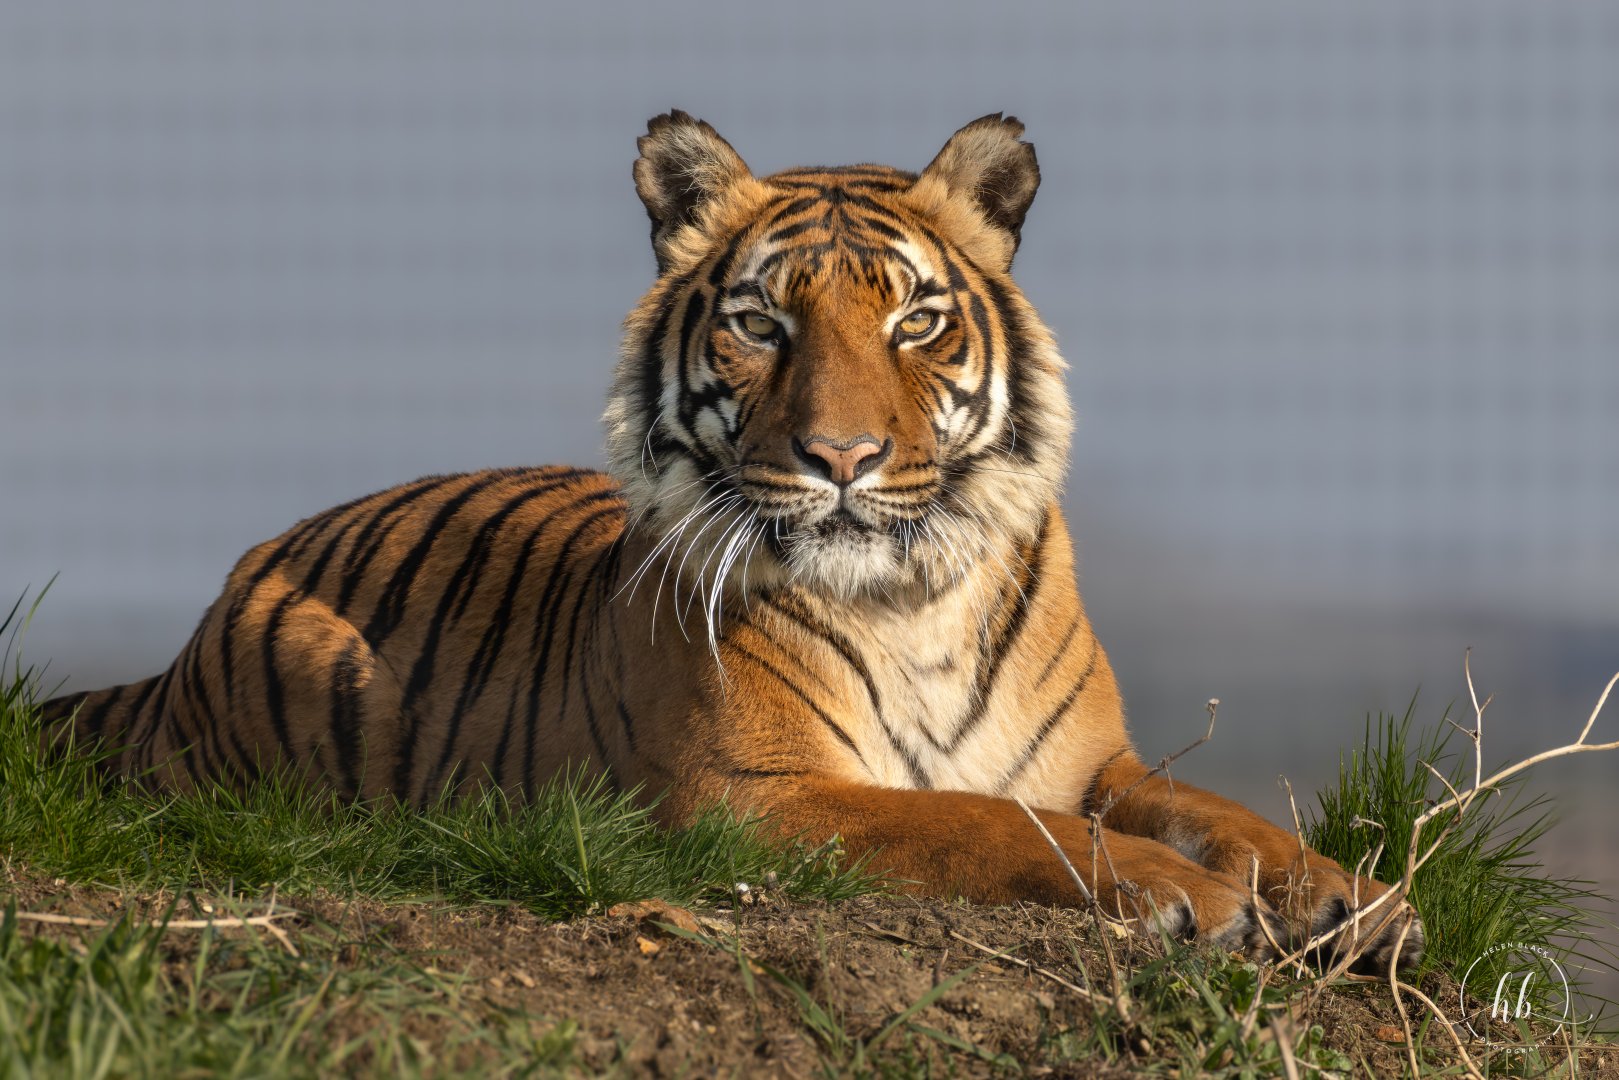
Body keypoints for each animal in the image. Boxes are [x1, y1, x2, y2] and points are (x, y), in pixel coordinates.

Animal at [44, 111, 1421, 970]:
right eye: (760, 323)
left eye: (915, 320)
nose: (842, 458)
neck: (911, 596)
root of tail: (186, 644)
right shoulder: (752, 794)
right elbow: (987, 826)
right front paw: (1189, 898)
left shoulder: (1092, 764)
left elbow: (1220, 810)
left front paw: (1352, 902)